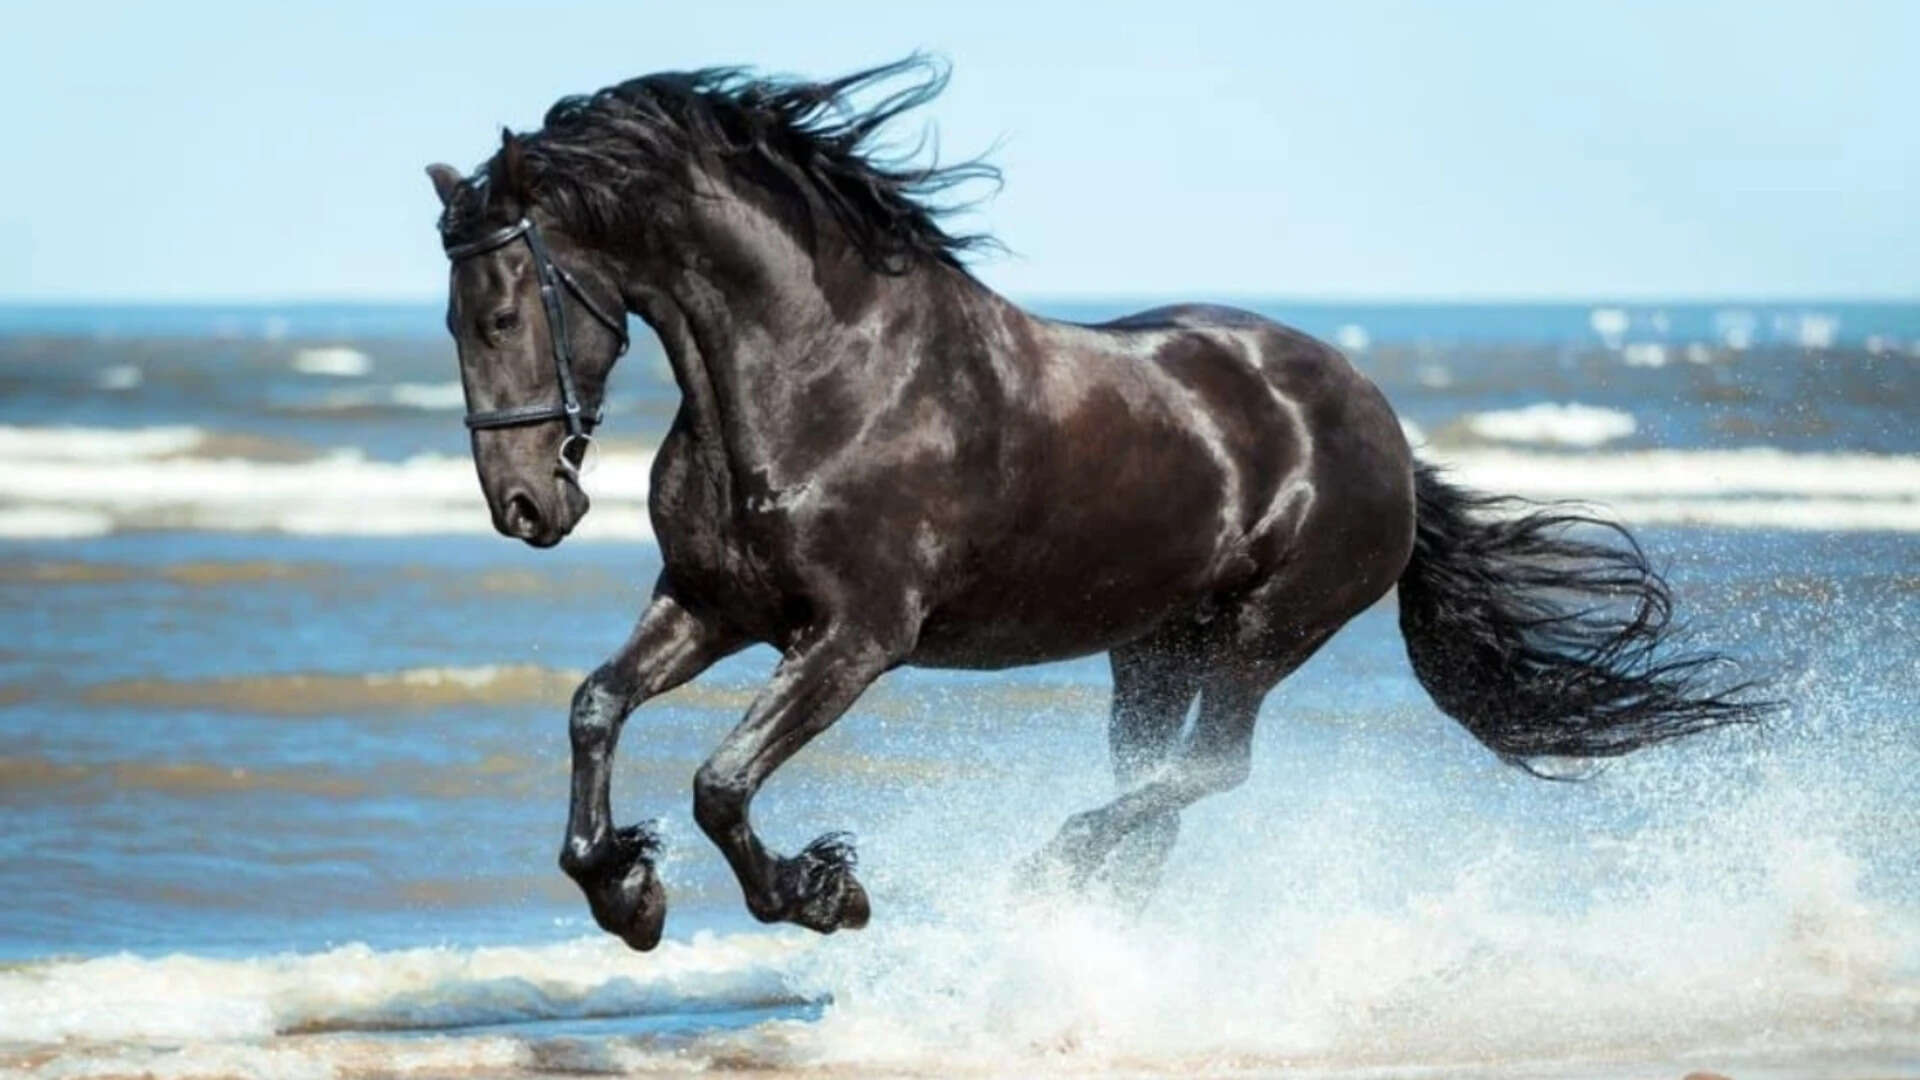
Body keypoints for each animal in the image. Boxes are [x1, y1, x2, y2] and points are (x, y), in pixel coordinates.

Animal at [423, 57, 1765, 951]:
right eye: (450, 318)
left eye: (503, 309)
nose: (526, 506)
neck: (819, 375)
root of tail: (1378, 422)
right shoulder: (711, 605)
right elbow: (597, 708)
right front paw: (624, 890)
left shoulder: (856, 638)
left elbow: (722, 781)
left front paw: (820, 891)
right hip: (1151, 649)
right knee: (1161, 790)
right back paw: (1089, 912)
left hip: (1265, 633)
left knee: (1209, 772)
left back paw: (1049, 870)